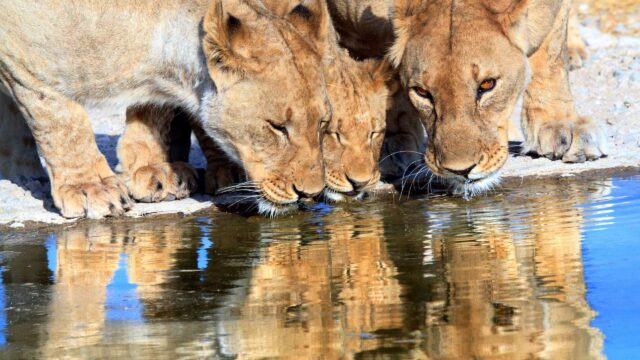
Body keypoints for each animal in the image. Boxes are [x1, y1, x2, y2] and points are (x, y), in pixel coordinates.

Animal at [0, 0, 330, 218]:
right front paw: (90, 187)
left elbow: (153, 112)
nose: (311, 194)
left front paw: (152, 169)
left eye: (322, 124)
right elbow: (63, 121)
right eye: (277, 127)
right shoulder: (23, 59)